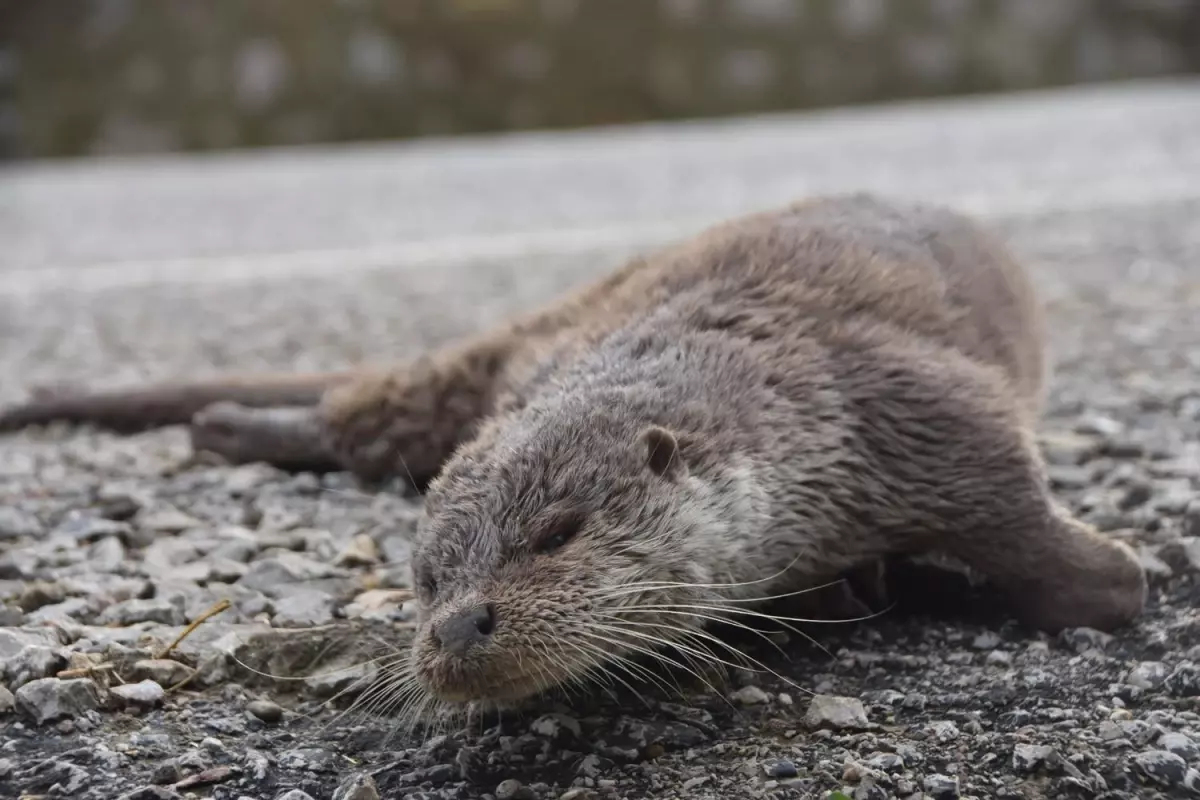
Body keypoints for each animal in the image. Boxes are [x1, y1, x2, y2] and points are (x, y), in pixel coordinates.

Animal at [0, 194, 1142, 705]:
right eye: (425, 578)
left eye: (557, 533)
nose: (457, 627)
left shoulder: (899, 405)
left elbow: (1011, 499)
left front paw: (1113, 577)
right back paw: (229, 424)